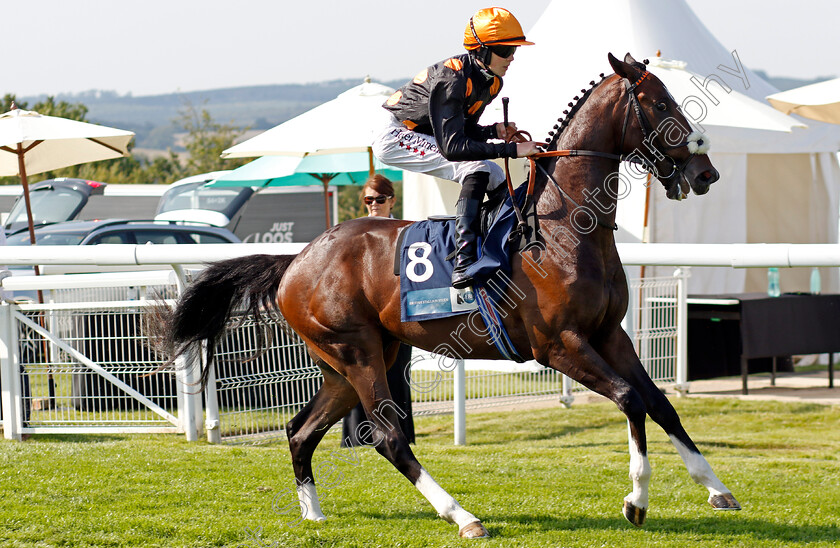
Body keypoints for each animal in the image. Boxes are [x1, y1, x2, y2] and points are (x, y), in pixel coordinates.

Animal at [154, 54, 740, 540]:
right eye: (658, 103)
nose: (706, 172)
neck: (563, 229)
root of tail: (296, 261)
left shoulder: (609, 333)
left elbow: (659, 403)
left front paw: (716, 488)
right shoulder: (559, 345)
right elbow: (629, 399)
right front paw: (636, 499)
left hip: (352, 360)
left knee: (301, 432)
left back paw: (313, 513)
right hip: (357, 353)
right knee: (387, 437)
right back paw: (462, 516)